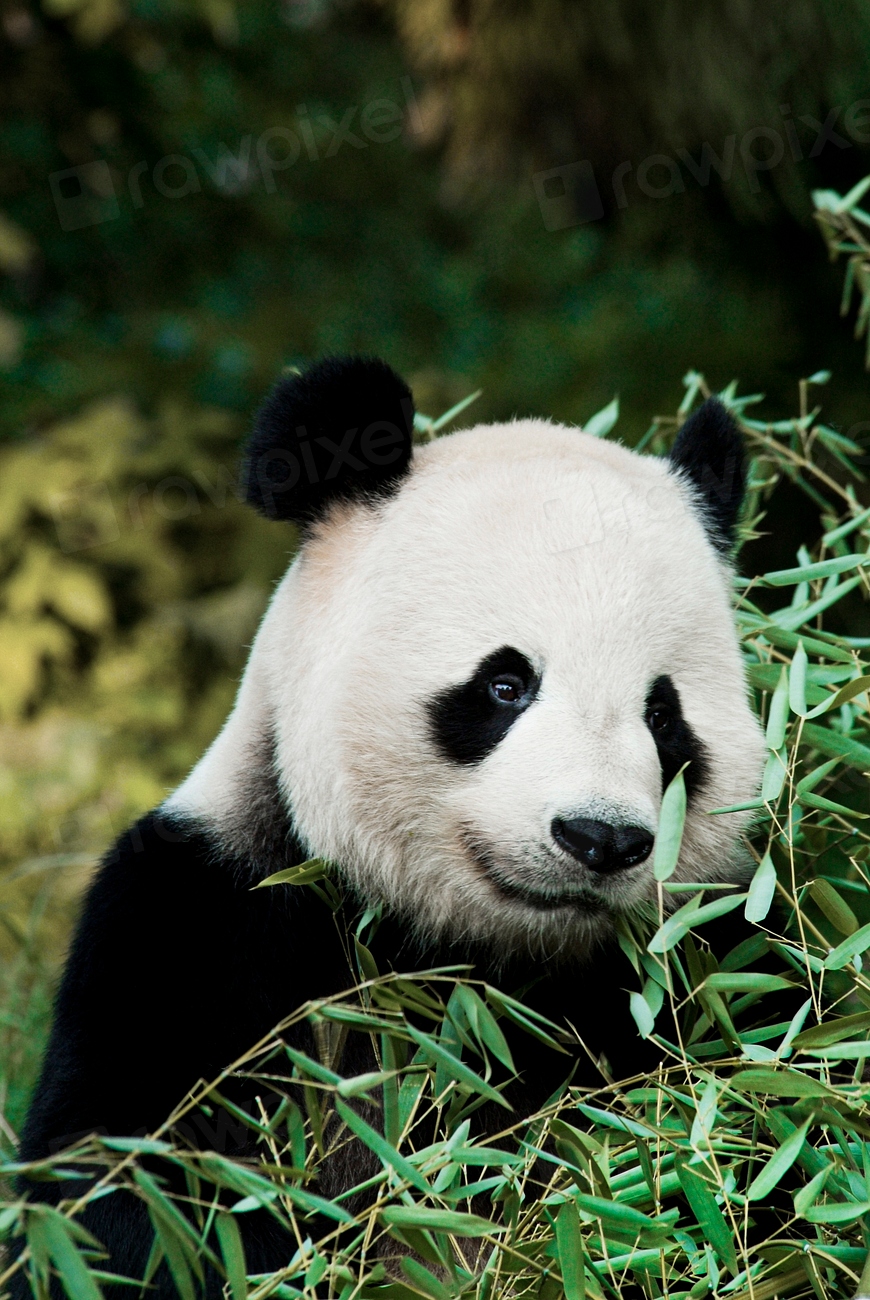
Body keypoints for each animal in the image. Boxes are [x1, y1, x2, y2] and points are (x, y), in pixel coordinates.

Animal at [15, 356, 766, 1287]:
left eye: (663, 718)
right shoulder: (205, 921)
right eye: (505, 685)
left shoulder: (703, 964)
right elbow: (133, 1192)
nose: (600, 839)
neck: (471, 959)